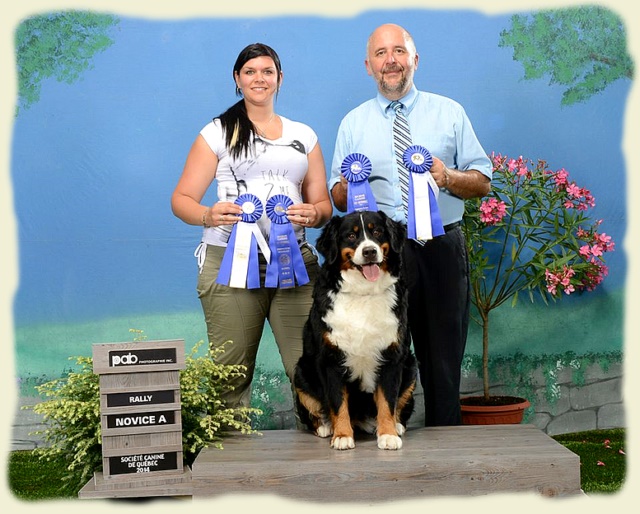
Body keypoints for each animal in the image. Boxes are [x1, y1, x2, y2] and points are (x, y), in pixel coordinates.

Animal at [294, 208, 418, 448]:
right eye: (351, 236)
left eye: (377, 232)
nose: (370, 251)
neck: (364, 293)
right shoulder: (331, 358)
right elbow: (338, 402)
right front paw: (342, 436)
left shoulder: (392, 356)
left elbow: (388, 401)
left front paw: (388, 434)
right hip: (302, 373)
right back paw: (325, 427)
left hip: (410, 367)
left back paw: (396, 426)